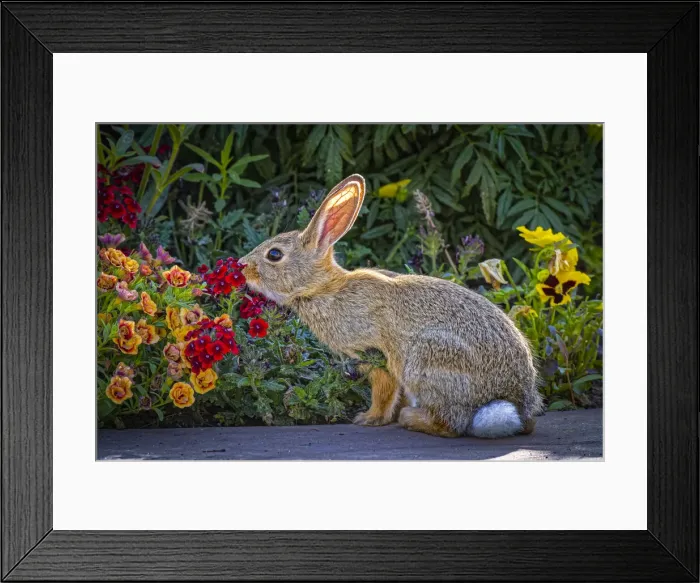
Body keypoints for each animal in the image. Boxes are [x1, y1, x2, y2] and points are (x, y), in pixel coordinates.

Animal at [240, 174, 543, 438]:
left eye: (274, 255)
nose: (242, 266)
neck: (321, 288)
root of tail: (517, 405)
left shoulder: (374, 352)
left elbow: (383, 389)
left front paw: (369, 419)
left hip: (429, 360)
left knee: (451, 424)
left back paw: (411, 418)